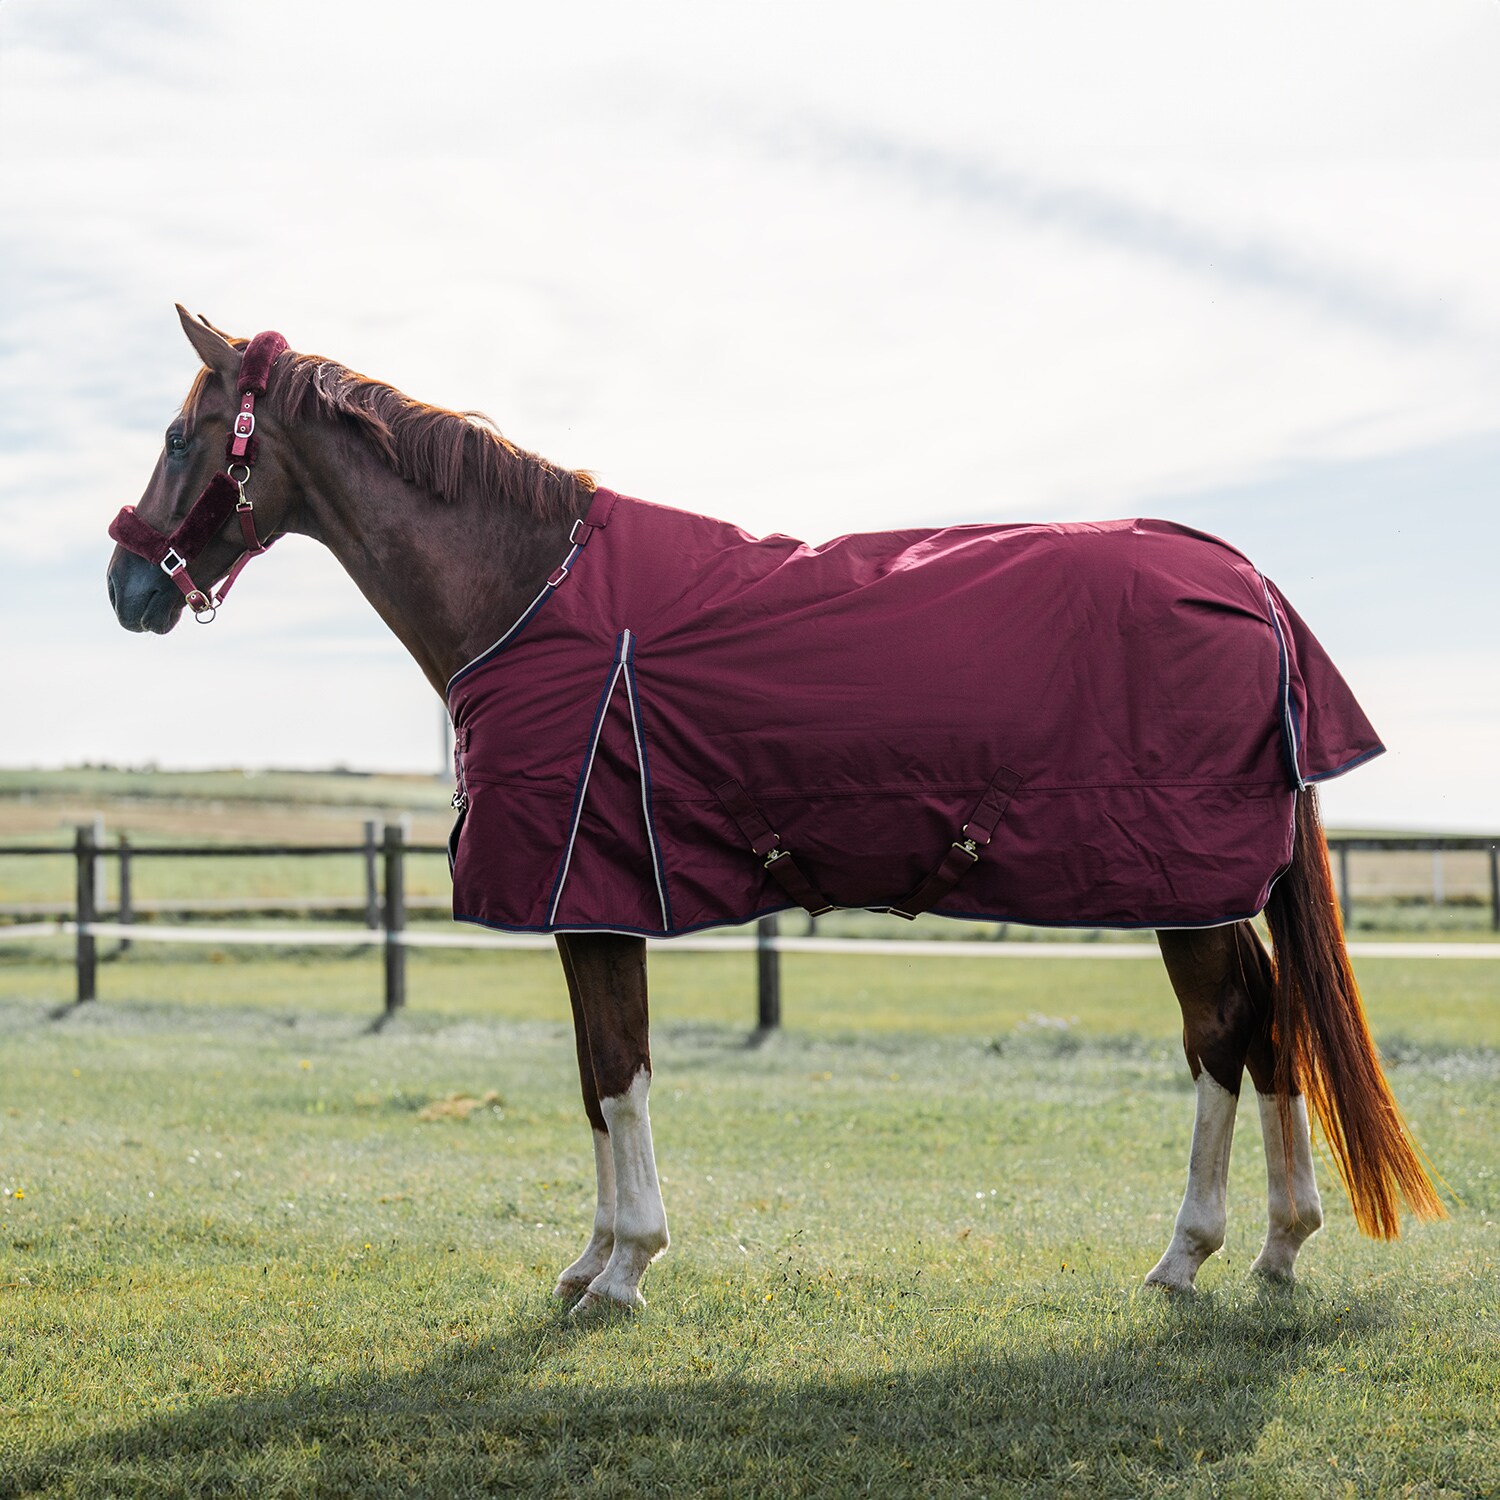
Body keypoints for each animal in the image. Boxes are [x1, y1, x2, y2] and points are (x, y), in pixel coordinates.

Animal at [105, 304, 1440, 1314]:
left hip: (1182, 887)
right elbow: (595, 1079)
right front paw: (590, 1258)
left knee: (1225, 1031)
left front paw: (625, 1269)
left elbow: (620, 1073)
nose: (126, 587)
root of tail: (1245, 583)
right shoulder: (588, 908)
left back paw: (1186, 1254)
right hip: (1201, 888)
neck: (534, 596)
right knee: (1271, 1023)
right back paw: (1276, 1245)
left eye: (177, 437)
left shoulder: (595, 899)